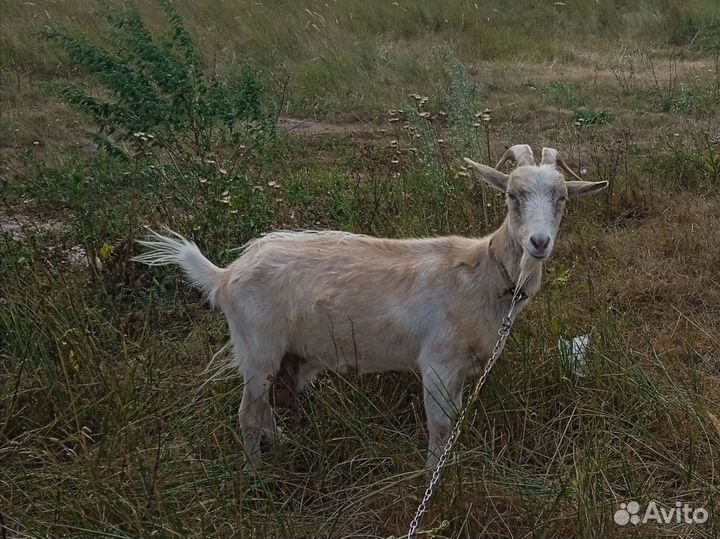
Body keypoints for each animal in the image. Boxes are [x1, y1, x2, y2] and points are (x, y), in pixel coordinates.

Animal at [134, 144, 608, 469]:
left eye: (563, 199)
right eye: (511, 195)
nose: (539, 243)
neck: (482, 274)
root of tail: (224, 275)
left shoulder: (459, 370)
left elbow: (453, 421)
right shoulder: (437, 363)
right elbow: (440, 427)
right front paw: (434, 476)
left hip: (282, 354)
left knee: (266, 408)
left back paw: (283, 446)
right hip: (257, 347)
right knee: (247, 415)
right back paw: (256, 473)